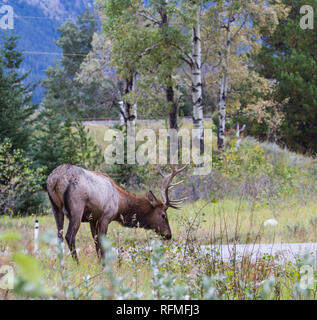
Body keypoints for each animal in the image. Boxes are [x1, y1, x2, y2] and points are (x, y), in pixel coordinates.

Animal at [47, 162, 188, 262]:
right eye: (163, 215)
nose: (169, 235)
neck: (120, 204)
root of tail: (55, 179)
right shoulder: (105, 217)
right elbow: (102, 244)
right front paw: (104, 266)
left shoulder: (93, 219)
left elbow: (96, 243)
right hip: (77, 207)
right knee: (69, 236)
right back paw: (77, 263)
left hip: (56, 208)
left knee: (59, 236)